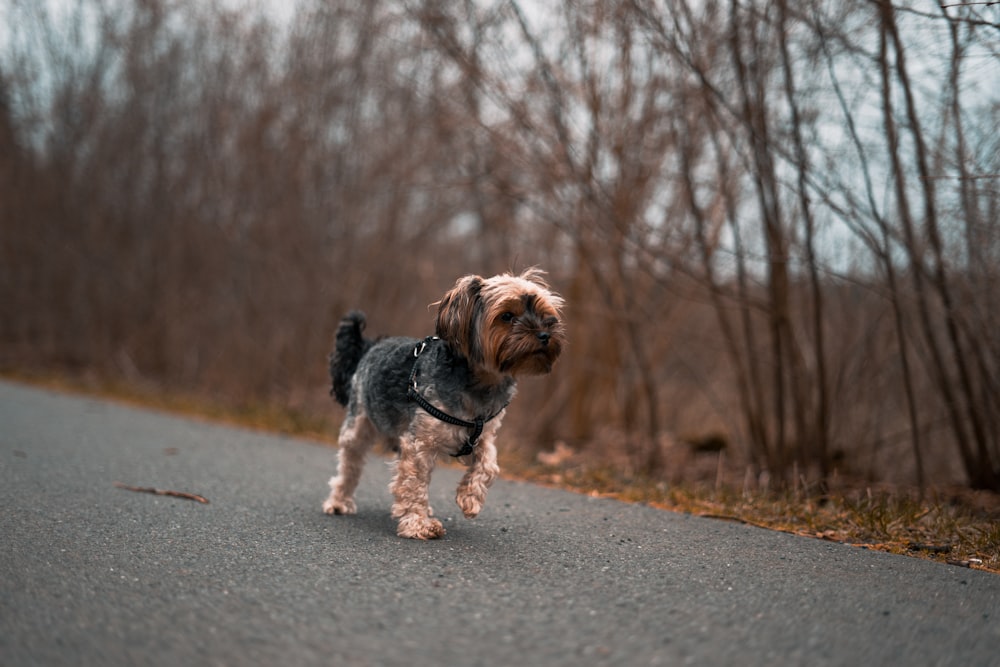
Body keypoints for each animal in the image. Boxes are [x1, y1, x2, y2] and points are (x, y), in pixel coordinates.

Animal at [324, 268, 568, 540]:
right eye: (507, 316)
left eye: (544, 313)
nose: (545, 334)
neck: (480, 382)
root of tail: (371, 346)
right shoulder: (420, 442)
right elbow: (413, 480)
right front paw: (418, 523)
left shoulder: (482, 436)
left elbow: (489, 465)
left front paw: (469, 498)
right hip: (359, 421)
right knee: (350, 463)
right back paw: (339, 502)